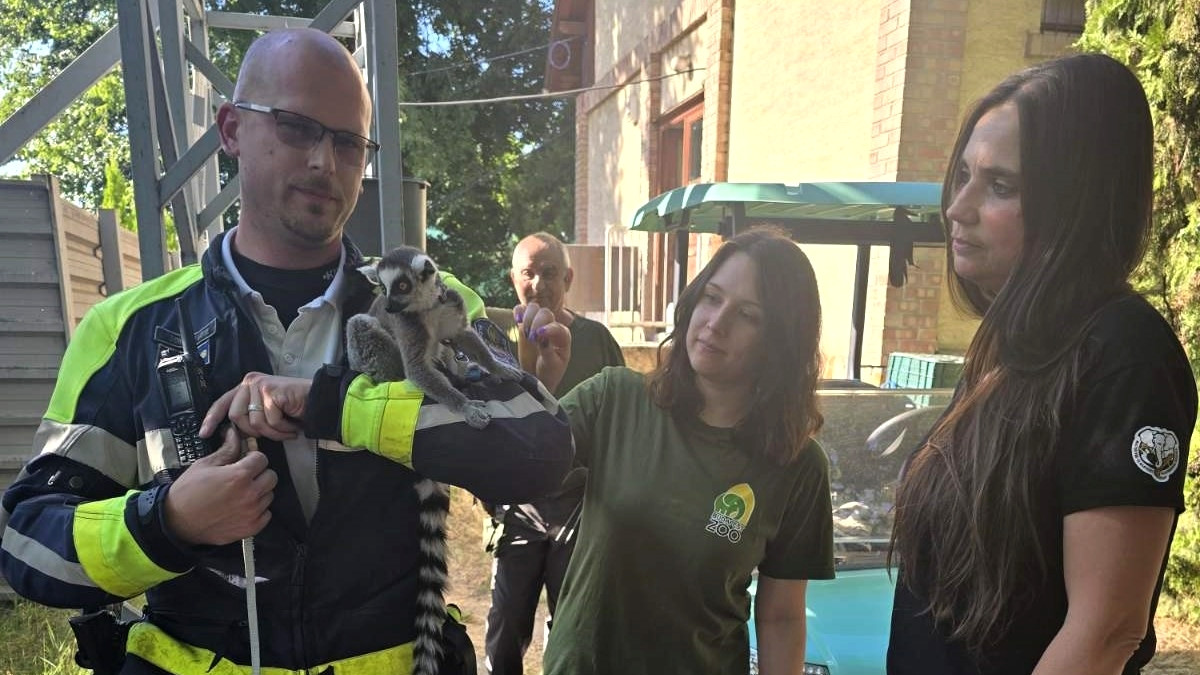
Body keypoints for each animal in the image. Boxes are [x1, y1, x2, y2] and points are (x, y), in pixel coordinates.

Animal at [346, 246, 525, 429]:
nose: (388, 308)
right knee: (359, 323)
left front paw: (499, 368)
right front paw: (466, 407)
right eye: (383, 288)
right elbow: (416, 368)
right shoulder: (408, 324)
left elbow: (463, 335)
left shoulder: (451, 304)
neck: (430, 307)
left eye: (402, 286)